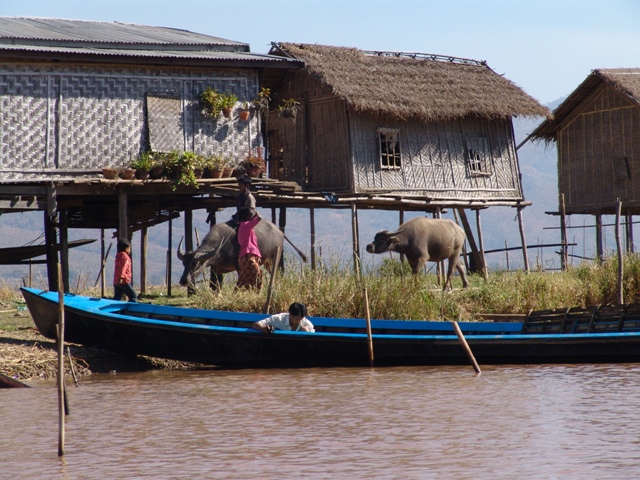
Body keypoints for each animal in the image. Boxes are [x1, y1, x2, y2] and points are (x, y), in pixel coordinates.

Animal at [175, 220, 304, 288]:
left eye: (194, 263)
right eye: (184, 263)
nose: (184, 281)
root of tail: (280, 232)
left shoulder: (239, 267)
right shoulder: (216, 269)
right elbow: (216, 287)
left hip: (274, 259)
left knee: (277, 274)